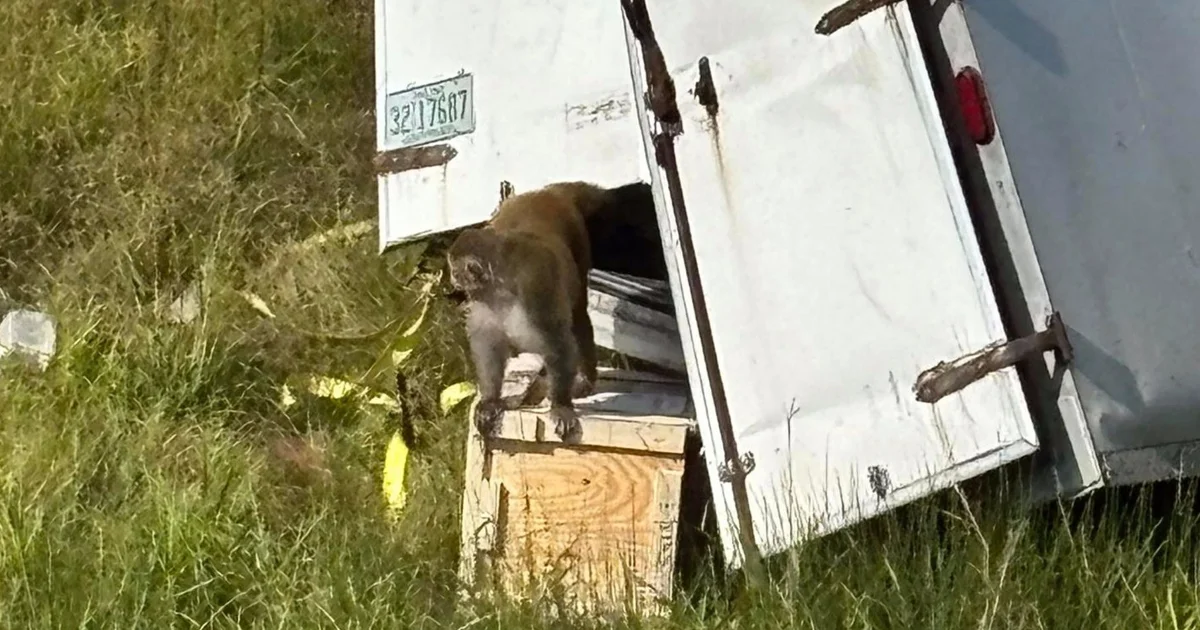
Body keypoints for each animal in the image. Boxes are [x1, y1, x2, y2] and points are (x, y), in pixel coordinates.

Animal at [447, 181, 651, 442]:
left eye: (455, 270)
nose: (452, 279)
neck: (501, 287)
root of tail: (548, 192)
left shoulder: (535, 288)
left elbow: (557, 342)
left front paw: (561, 405)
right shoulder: (483, 303)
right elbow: (488, 345)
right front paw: (491, 400)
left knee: (578, 316)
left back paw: (585, 379)